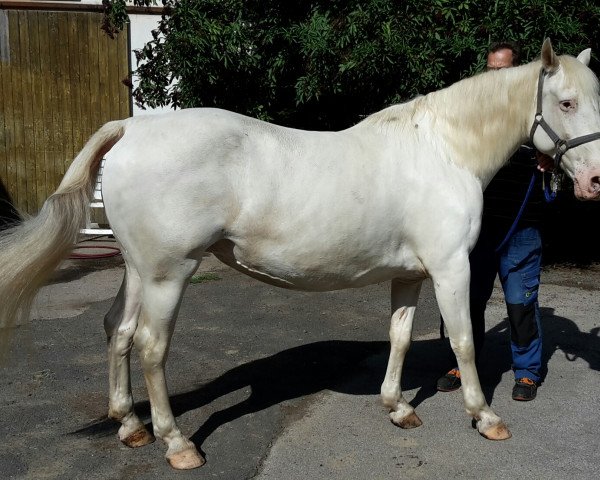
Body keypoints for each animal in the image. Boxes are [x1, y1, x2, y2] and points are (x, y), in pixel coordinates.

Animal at [1, 40, 600, 468]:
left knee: (118, 331)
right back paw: (177, 444)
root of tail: (131, 127)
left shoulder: (410, 275)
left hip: (138, 270)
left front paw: (398, 407)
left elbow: (401, 337)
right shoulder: (452, 268)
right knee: (151, 346)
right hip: (168, 274)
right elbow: (464, 341)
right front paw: (485, 417)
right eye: (566, 102)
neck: (443, 150)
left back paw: (130, 427)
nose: (593, 181)